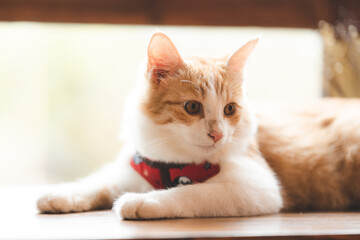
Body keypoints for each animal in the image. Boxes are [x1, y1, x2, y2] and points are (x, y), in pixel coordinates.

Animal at [37, 32, 360, 219]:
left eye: (230, 110)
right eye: (192, 107)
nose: (217, 134)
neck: (174, 162)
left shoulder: (259, 187)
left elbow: (190, 193)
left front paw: (144, 201)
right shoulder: (133, 166)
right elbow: (99, 182)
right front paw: (61, 194)